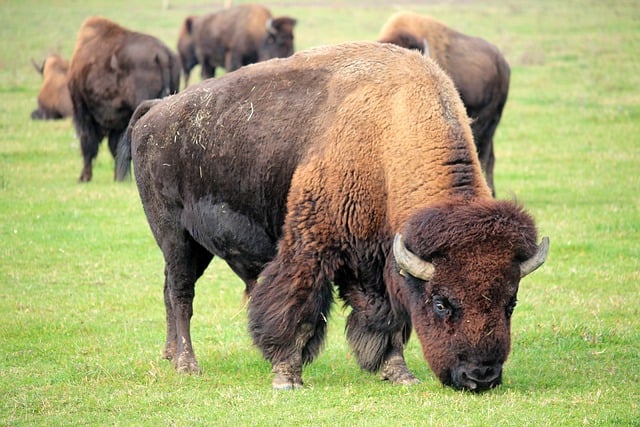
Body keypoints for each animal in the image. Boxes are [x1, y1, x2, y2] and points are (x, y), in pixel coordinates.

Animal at [117, 41, 548, 392]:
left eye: (511, 302)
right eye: (441, 303)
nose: (481, 376)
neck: (389, 133)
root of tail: (156, 110)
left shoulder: (376, 257)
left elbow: (385, 317)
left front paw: (398, 372)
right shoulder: (312, 243)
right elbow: (299, 305)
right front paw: (287, 376)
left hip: (194, 246)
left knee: (168, 291)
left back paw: (170, 356)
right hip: (174, 235)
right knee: (181, 294)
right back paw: (188, 364)